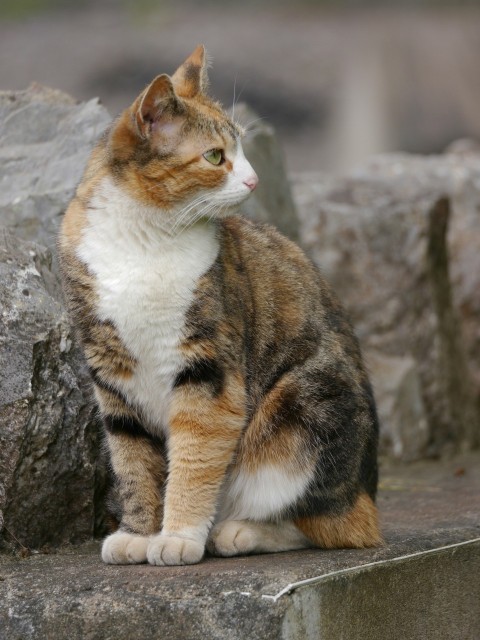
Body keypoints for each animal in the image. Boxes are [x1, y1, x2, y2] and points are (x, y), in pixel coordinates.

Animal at [58, 43, 382, 564]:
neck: (146, 237)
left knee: (331, 525)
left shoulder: (207, 369)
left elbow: (194, 457)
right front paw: (139, 533)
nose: (254, 180)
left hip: (303, 407)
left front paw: (177, 537)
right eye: (215, 156)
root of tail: (365, 491)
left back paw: (238, 531)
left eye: (243, 149)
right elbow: (133, 460)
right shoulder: (112, 376)